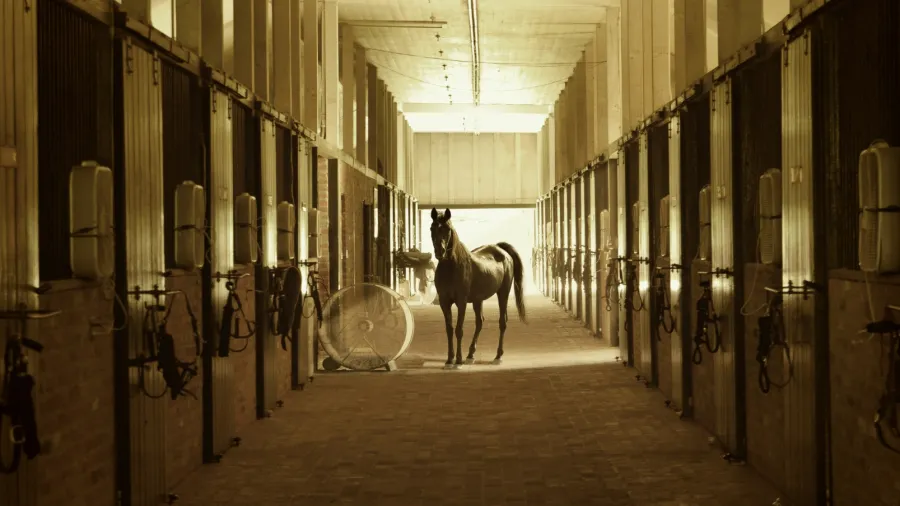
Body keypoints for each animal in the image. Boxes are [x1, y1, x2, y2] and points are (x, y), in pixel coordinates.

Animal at [429, 208, 527, 369]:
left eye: (447, 228)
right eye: (432, 228)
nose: (439, 252)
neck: (451, 267)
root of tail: (502, 251)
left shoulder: (461, 302)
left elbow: (459, 329)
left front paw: (458, 361)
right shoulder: (444, 302)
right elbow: (449, 329)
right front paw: (449, 360)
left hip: (503, 293)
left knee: (502, 322)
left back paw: (497, 357)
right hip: (478, 300)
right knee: (480, 322)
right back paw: (470, 355)